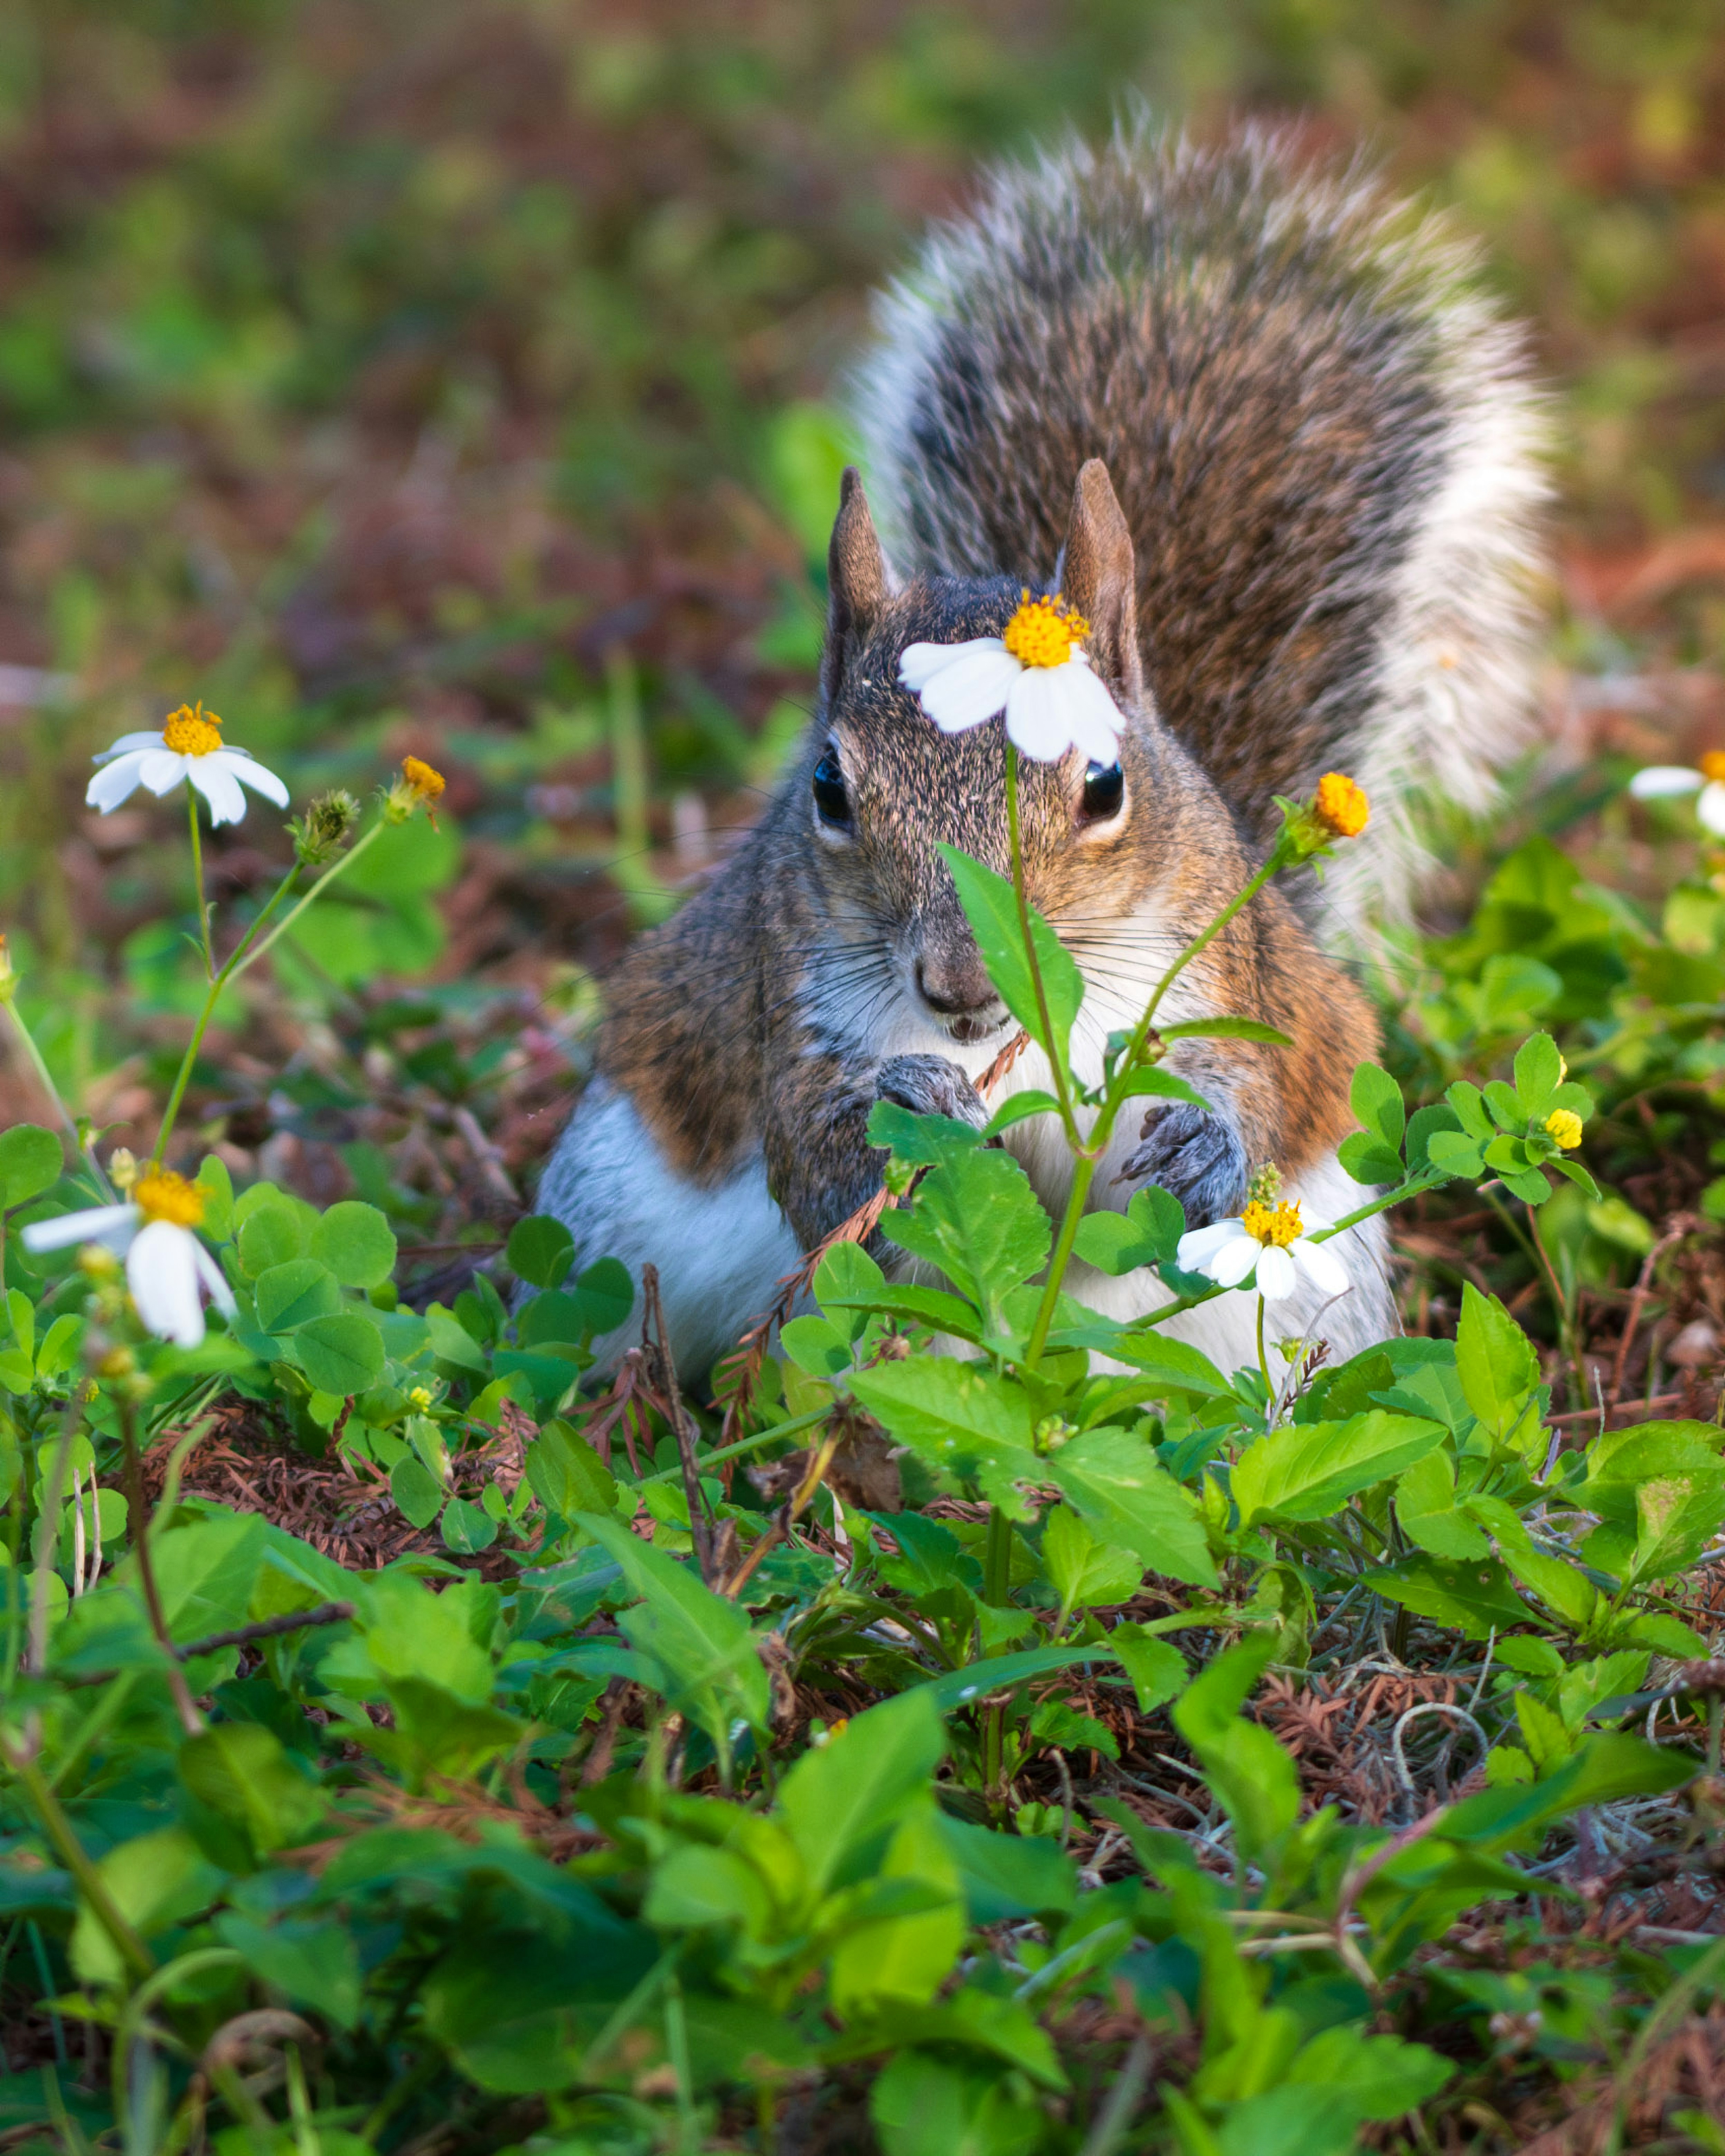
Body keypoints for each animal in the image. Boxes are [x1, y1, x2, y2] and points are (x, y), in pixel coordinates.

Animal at [529, 121, 1549, 1381]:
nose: (961, 987)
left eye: (1106, 785)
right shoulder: (789, 1016)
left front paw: (1210, 1147)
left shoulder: (1236, 987)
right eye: (827, 788)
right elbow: (822, 1177)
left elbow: (1246, 1106)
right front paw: (913, 1121)